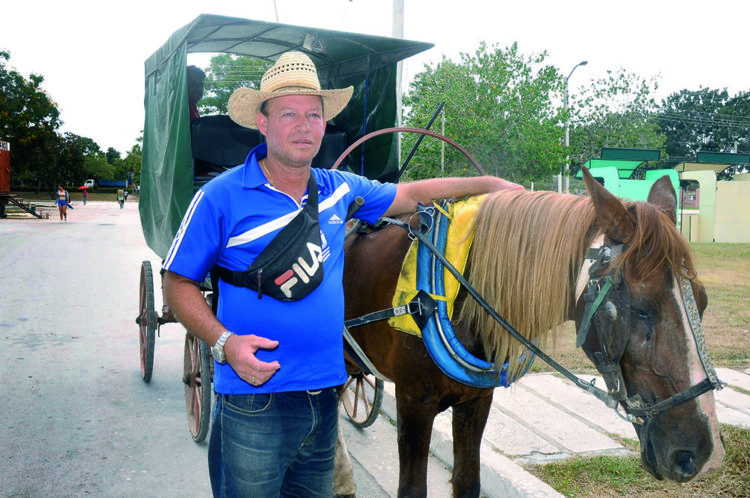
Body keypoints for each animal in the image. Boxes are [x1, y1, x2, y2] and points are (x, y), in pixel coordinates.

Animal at [342, 169, 728, 496]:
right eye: (642, 309)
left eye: (704, 303)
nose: (702, 452)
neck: (451, 292)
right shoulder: (413, 402)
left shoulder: (476, 403)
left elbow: (468, 482)